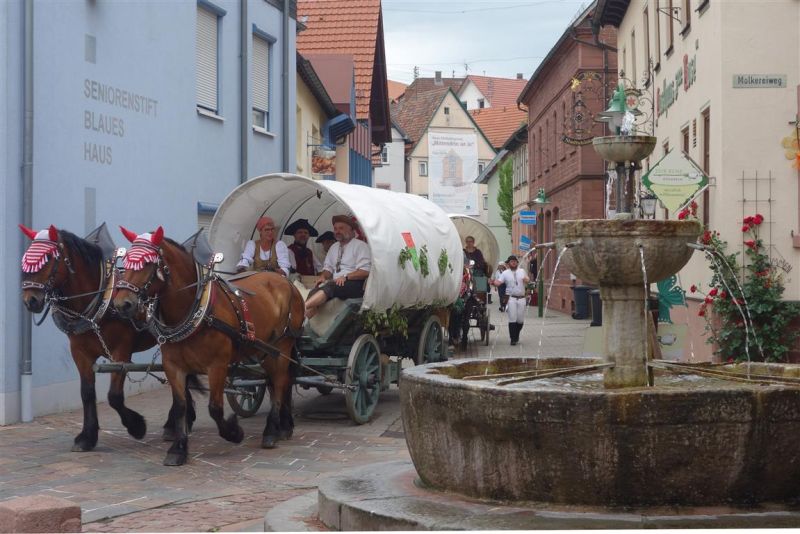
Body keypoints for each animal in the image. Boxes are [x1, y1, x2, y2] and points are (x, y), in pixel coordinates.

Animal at [19, 224, 197, 451]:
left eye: (47, 259)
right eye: (26, 259)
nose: (30, 300)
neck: (98, 299)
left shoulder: (121, 351)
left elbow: (114, 396)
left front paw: (136, 426)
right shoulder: (80, 353)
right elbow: (87, 393)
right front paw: (87, 437)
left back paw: (175, 425)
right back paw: (178, 423)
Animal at [111, 226, 305, 466]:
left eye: (147, 264)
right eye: (126, 261)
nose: (121, 304)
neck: (194, 311)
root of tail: (285, 282)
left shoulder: (218, 366)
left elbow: (215, 408)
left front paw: (234, 432)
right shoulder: (173, 366)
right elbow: (181, 407)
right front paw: (178, 448)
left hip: (282, 346)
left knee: (279, 382)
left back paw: (271, 431)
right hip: (265, 351)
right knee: (275, 382)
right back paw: (283, 426)